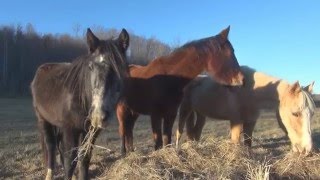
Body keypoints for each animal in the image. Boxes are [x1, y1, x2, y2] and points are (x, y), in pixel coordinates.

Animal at [30, 28, 129, 179]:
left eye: (119, 68)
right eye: (90, 67)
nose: (98, 115)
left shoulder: (91, 130)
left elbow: (84, 158)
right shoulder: (70, 129)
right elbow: (70, 160)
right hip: (42, 119)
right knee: (51, 146)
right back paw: (49, 174)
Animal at [117, 26, 245, 154]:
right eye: (229, 52)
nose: (242, 79)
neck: (169, 77)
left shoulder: (171, 114)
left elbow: (167, 139)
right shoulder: (155, 115)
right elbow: (158, 143)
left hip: (134, 112)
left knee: (129, 130)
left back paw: (131, 151)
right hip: (122, 110)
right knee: (123, 131)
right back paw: (123, 153)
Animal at [176, 66, 316, 155]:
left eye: (312, 114)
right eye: (295, 113)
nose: (307, 150)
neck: (250, 91)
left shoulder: (251, 121)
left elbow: (248, 142)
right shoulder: (236, 121)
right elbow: (236, 143)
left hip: (200, 113)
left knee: (196, 131)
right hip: (185, 108)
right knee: (179, 131)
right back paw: (177, 151)